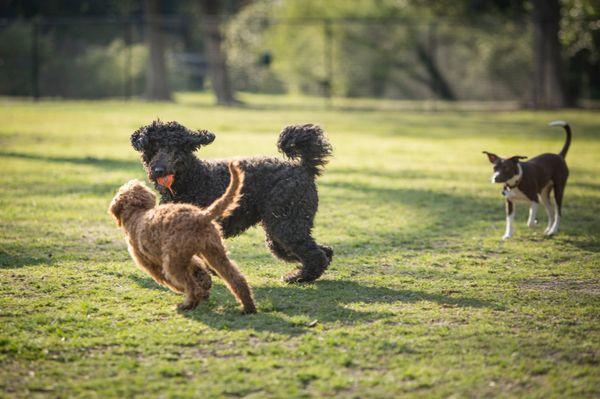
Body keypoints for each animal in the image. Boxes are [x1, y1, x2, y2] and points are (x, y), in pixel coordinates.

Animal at [109, 161, 256, 314]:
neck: (136, 213)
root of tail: (200, 217)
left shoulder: (153, 265)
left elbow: (171, 282)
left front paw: (196, 290)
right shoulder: (185, 258)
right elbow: (199, 269)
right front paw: (205, 283)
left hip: (173, 262)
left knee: (192, 286)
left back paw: (186, 305)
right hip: (213, 253)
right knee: (236, 278)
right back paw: (248, 307)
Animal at [130, 120, 332, 282]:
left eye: (175, 149)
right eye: (153, 147)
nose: (159, 170)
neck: (192, 179)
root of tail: (303, 167)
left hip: (287, 223)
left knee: (314, 254)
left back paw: (300, 277)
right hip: (281, 229)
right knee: (321, 251)